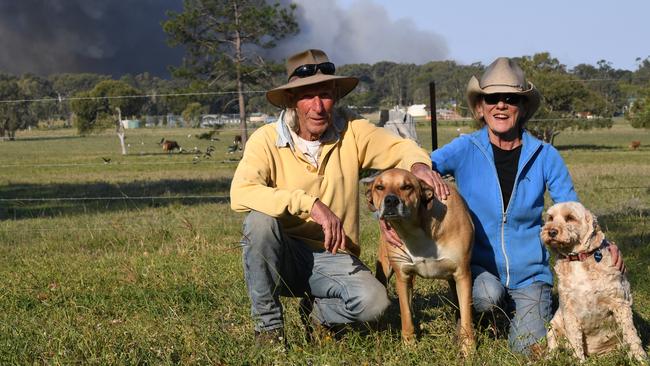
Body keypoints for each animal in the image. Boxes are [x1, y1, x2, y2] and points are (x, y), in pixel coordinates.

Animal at [368, 168, 474, 354]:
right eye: (379, 187)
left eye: (407, 186)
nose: (390, 200)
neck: (415, 229)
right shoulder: (403, 277)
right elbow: (406, 314)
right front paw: (409, 346)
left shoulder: (463, 274)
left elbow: (466, 314)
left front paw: (468, 349)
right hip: (385, 269)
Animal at [540, 202, 644, 362]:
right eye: (550, 218)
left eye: (570, 217)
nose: (551, 232)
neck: (578, 259)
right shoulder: (569, 311)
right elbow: (575, 340)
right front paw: (579, 361)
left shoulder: (620, 302)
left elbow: (631, 333)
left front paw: (640, 358)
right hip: (553, 325)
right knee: (553, 347)